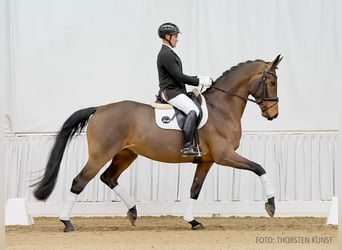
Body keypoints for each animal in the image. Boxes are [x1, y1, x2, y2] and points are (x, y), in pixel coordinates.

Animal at [32, 55, 284, 232]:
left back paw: (133, 211)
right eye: (271, 81)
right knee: (79, 181)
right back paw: (67, 223)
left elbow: (194, 190)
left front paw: (192, 221)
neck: (221, 107)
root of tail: (100, 109)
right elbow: (259, 168)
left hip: (126, 154)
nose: (273, 114)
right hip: (100, 154)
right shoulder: (224, 155)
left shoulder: (207, 161)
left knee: (109, 177)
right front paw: (271, 205)